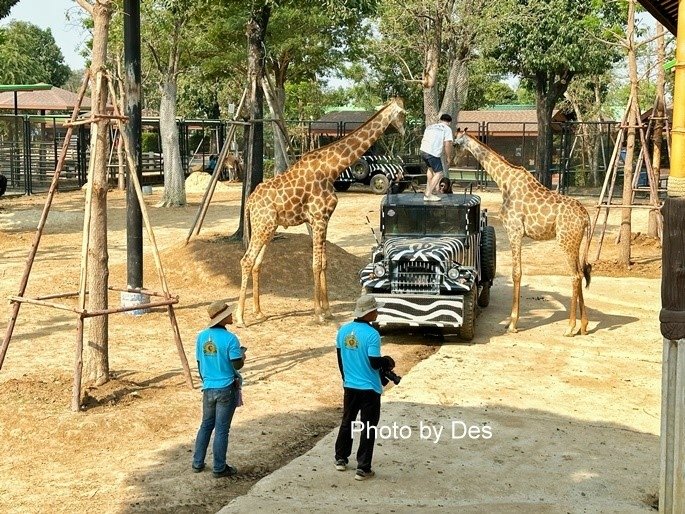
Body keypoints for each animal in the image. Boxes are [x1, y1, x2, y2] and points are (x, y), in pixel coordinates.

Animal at [235, 96, 406, 324]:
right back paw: (240, 317)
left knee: (256, 263)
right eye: (402, 113)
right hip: (263, 225)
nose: (404, 131)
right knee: (246, 260)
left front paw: (327, 310)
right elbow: (316, 264)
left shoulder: (323, 219)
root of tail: (250, 201)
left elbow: (324, 262)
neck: (332, 169)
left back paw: (259, 312)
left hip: (268, 227)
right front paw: (318, 314)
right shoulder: (318, 217)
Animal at [452, 130, 592, 334]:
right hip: (575, 242)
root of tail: (586, 218)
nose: (453, 161)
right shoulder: (517, 233)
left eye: (455, 144)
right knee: (581, 273)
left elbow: (516, 273)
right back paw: (583, 325)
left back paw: (570, 327)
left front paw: (512, 324)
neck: (504, 181)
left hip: (565, 241)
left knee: (575, 275)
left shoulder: (514, 230)